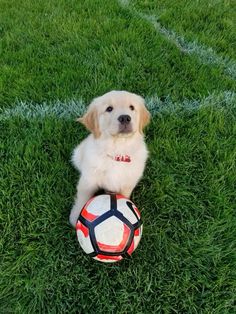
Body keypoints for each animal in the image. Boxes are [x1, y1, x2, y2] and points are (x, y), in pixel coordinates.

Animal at [69, 89, 150, 227]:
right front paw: (75, 219)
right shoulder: (88, 181)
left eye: (132, 107)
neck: (116, 151)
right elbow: (82, 199)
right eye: (109, 109)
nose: (125, 118)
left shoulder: (127, 184)